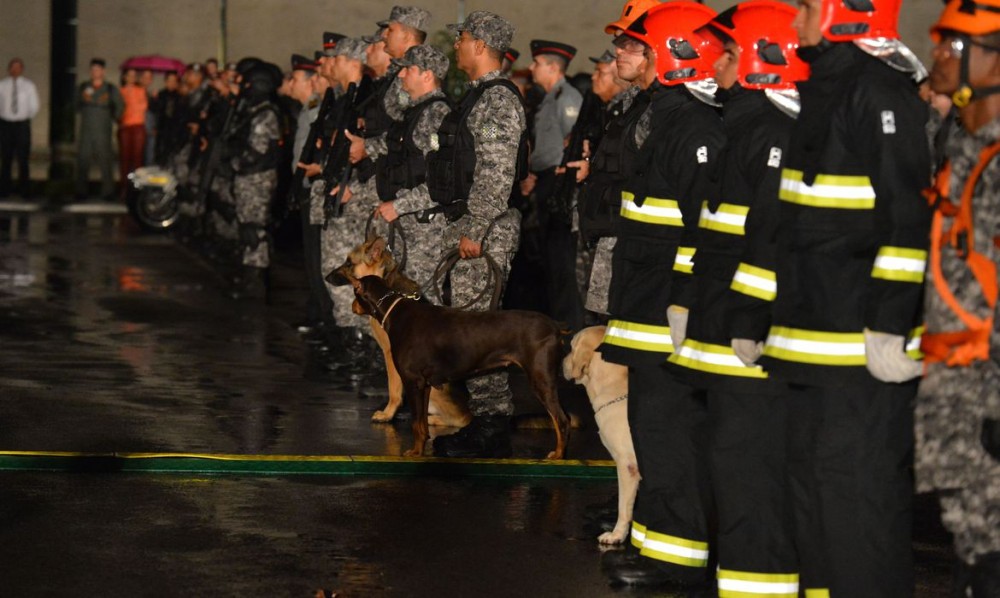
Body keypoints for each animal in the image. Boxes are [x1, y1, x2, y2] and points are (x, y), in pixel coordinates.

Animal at [350, 274, 572, 462]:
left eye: (354, 292)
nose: (352, 307)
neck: (394, 310)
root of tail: (555, 326)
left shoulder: (412, 382)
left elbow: (415, 424)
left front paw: (415, 452)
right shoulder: (425, 384)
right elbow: (422, 424)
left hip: (540, 379)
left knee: (562, 420)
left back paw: (558, 455)